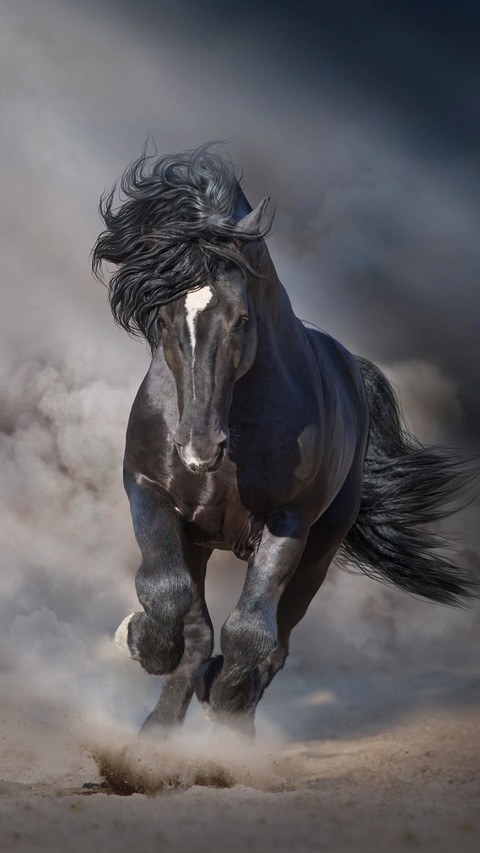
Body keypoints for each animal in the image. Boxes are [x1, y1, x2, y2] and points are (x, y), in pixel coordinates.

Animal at [92, 144, 477, 735]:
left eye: (240, 320)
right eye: (164, 318)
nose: (199, 449)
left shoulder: (288, 521)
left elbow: (251, 634)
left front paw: (224, 703)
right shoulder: (148, 489)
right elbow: (168, 596)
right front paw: (137, 640)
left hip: (318, 551)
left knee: (275, 644)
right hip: (200, 540)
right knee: (197, 626)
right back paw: (158, 735)